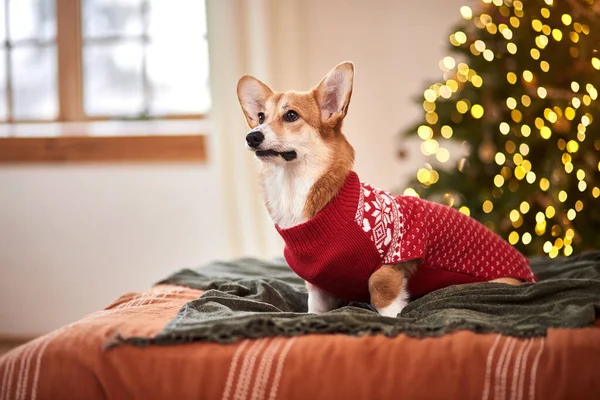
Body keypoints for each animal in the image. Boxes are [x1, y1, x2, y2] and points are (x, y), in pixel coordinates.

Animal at [237, 62, 536, 318]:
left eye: (291, 115)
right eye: (261, 117)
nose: (252, 137)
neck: (294, 188)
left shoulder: (395, 259)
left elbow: (380, 291)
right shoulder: (318, 289)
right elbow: (315, 309)